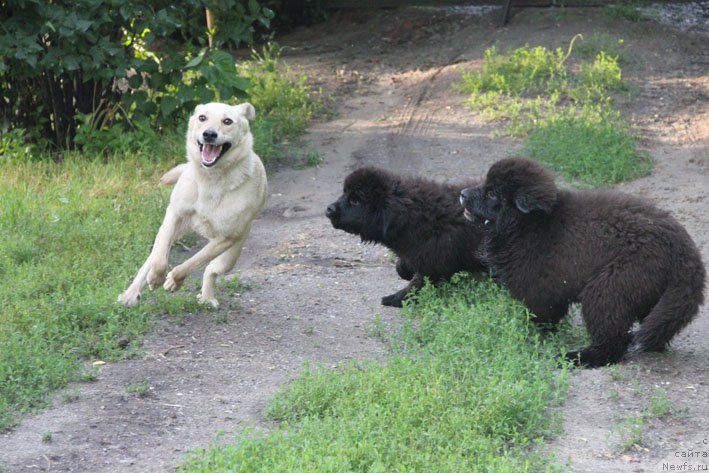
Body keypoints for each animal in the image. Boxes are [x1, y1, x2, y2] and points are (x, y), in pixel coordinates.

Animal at [119, 102, 268, 308]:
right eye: (202, 118)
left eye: (227, 121)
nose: (209, 134)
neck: (210, 180)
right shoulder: (174, 214)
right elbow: (160, 260)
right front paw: (156, 278)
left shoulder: (226, 238)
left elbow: (194, 262)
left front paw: (174, 281)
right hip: (171, 231)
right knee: (152, 258)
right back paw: (131, 294)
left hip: (231, 255)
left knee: (211, 270)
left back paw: (206, 297)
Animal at [326, 166, 486, 306]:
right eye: (344, 193)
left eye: (355, 201)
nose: (329, 209)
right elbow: (402, 267)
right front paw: (406, 272)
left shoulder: (434, 263)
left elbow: (416, 285)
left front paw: (395, 299)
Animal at [460, 157, 704, 366]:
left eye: (492, 193)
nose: (462, 193)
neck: (529, 225)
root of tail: (684, 249)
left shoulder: (539, 290)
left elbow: (539, 315)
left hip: (608, 289)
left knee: (612, 343)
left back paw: (577, 357)